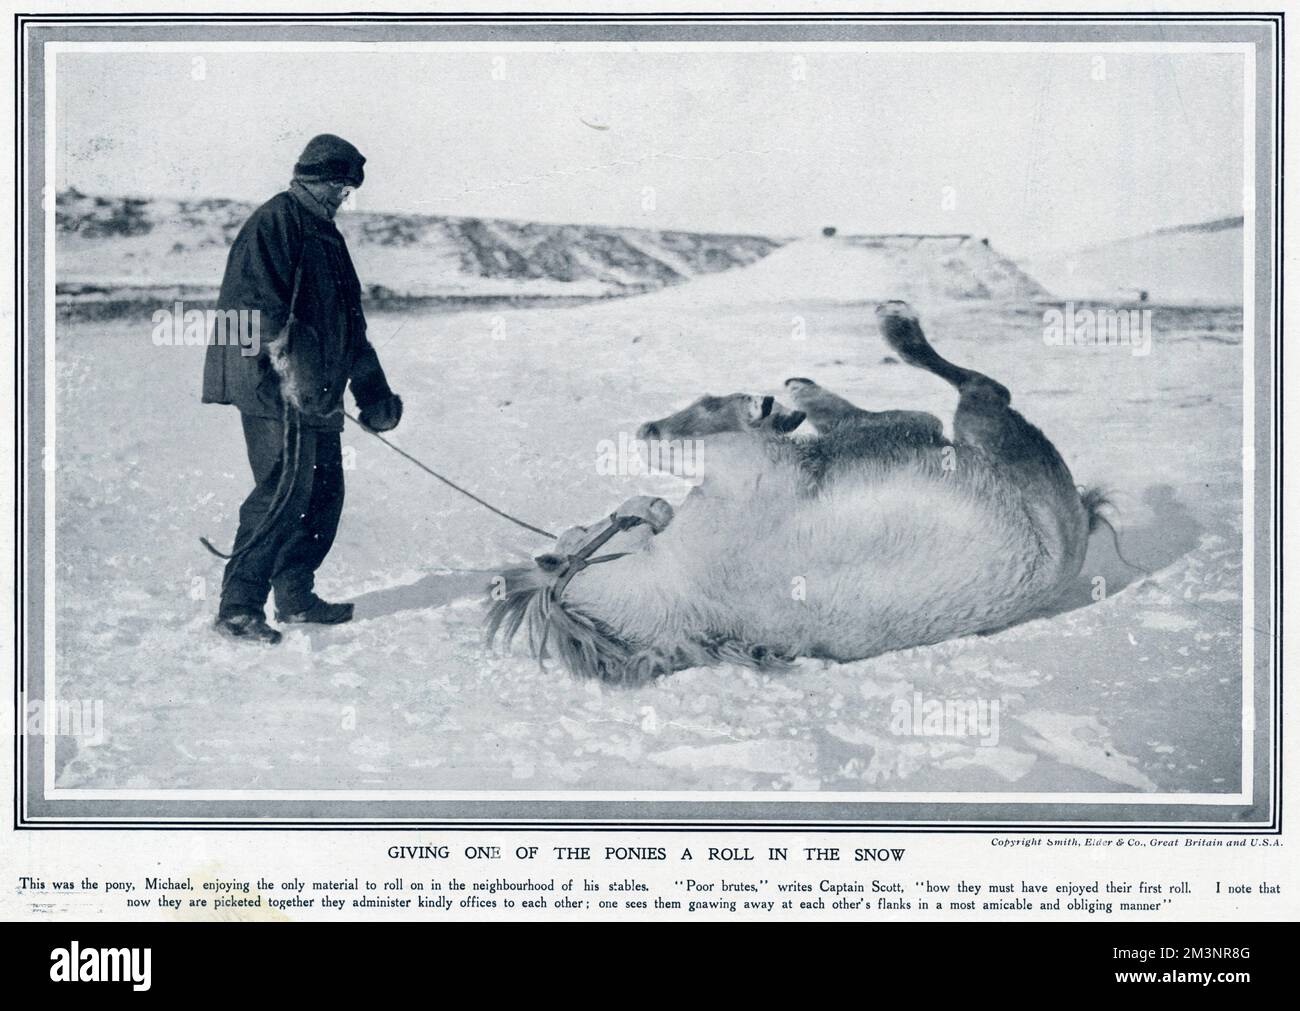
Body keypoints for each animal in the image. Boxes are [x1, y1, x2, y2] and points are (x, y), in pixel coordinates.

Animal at [488, 297, 1107, 675]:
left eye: (581, 526)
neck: (673, 584)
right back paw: (883, 336)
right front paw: (759, 409)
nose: (647, 509)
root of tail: (1079, 521)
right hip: (991, 433)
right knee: (976, 389)